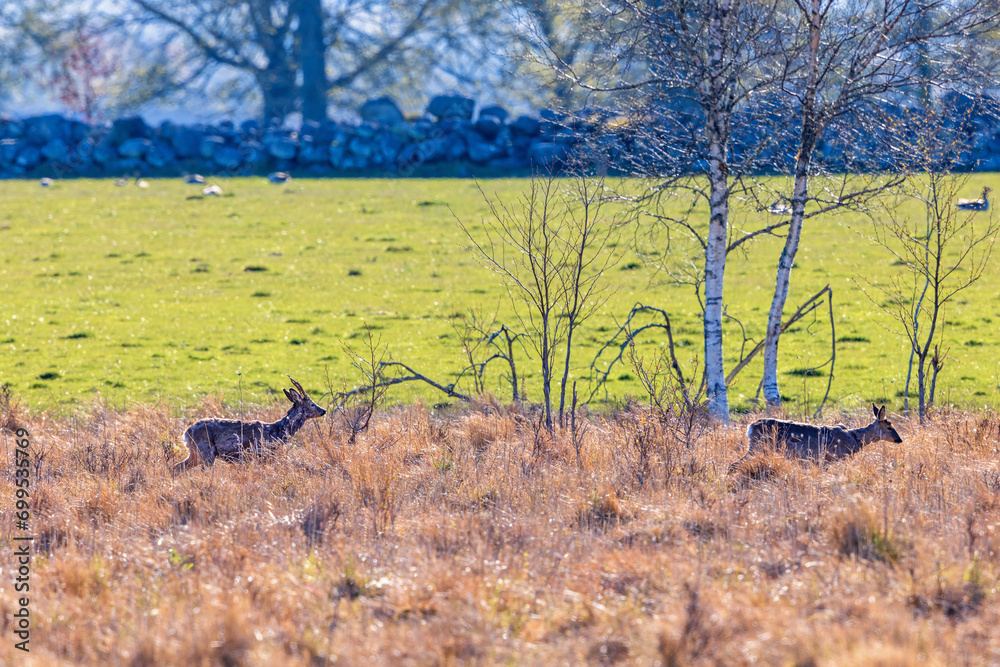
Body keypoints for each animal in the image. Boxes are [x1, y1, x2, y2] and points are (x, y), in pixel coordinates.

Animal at [174, 376, 326, 474]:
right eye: (312, 404)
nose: (323, 410)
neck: (277, 431)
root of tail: (186, 433)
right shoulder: (262, 452)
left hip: (196, 453)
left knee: (176, 467)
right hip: (206, 451)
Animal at [732, 404, 904, 472]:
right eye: (889, 427)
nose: (899, 440)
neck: (854, 438)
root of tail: (750, 427)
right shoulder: (833, 457)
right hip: (758, 447)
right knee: (734, 465)